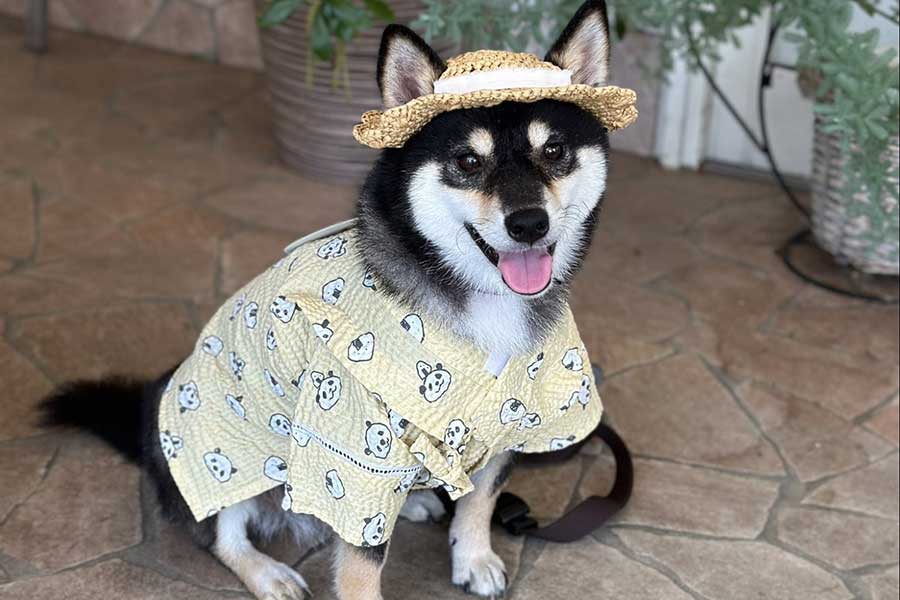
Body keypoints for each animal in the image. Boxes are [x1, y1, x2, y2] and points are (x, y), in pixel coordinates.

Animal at [42, 2, 620, 596]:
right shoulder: (353, 459)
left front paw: (474, 556)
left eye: (554, 150)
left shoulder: (515, 425)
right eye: (467, 162)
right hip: (221, 455)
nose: (528, 224)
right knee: (223, 535)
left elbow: (480, 500)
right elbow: (362, 564)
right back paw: (269, 573)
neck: (477, 299)